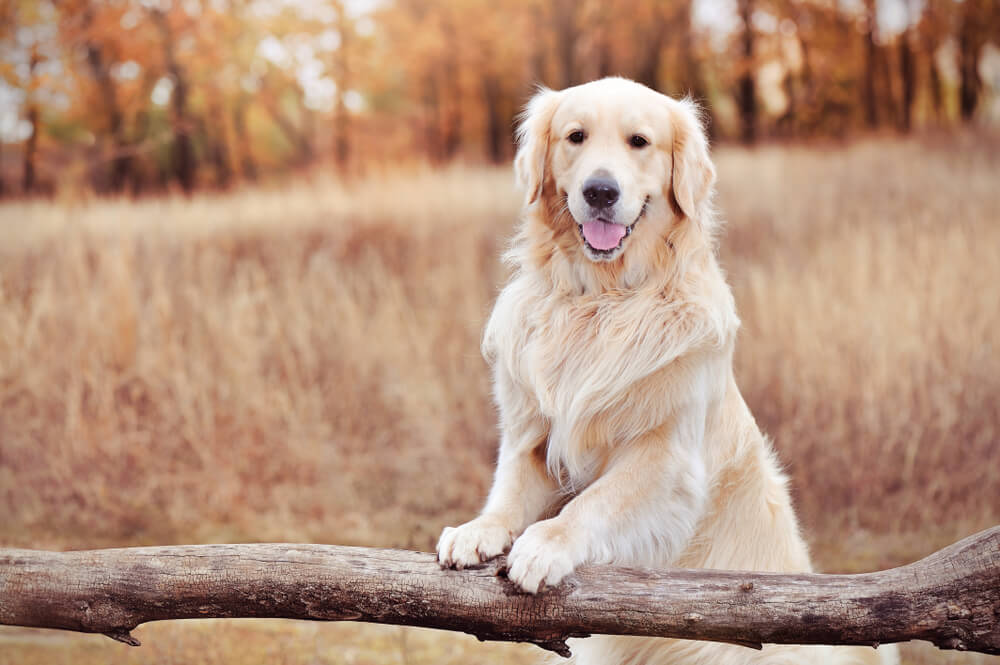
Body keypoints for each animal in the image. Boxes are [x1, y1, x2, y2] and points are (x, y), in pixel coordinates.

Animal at [438, 79, 900, 664]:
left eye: (639, 141)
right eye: (575, 136)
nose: (600, 191)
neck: (603, 299)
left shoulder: (666, 459)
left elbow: (592, 501)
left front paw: (544, 545)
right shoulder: (533, 436)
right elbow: (508, 488)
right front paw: (477, 530)